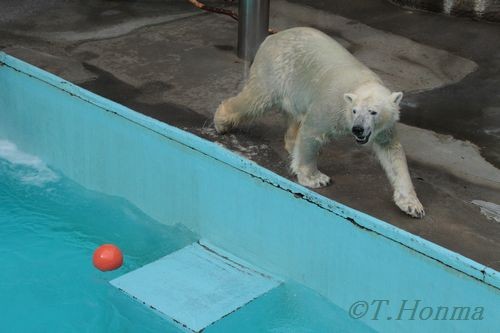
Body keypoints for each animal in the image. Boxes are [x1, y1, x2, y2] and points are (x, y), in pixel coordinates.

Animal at [213, 26, 424, 218]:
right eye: (355, 111)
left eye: (373, 112)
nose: (357, 129)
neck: (361, 83)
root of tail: (273, 37)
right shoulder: (331, 105)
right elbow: (312, 132)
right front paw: (316, 178)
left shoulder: (385, 127)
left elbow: (392, 153)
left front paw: (412, 205)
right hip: (276, 70)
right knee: (256, 99)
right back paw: (221, 121)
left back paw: (292, 145)